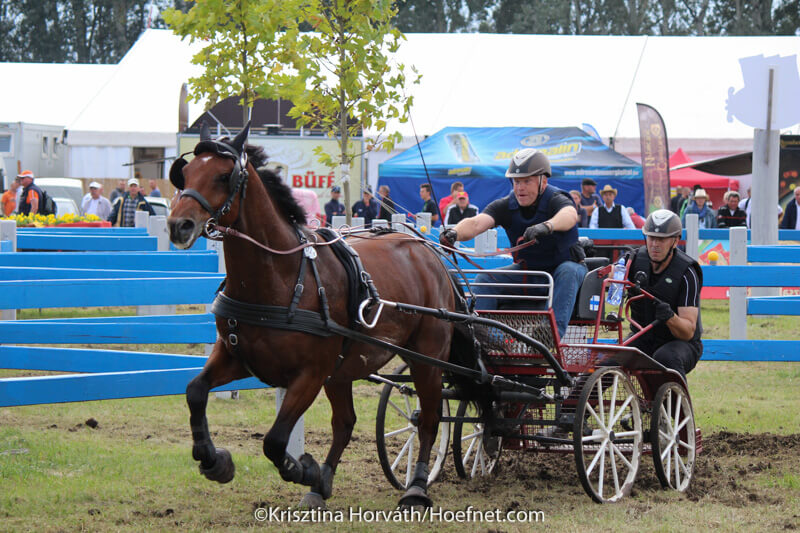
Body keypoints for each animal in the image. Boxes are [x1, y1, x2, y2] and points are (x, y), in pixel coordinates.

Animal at [166, 123, 477, 509]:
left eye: (224, 176)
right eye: (185, 175)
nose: (178, 225)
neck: (280, 275)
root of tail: (429, 252)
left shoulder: (310, 374)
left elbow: (274, 440)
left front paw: (302, 469)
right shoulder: (237, 357)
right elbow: (195, 391)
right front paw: (214, 461)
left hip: (427, 358)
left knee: (429, 419)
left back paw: (416, 485)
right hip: (343, 371)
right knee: (345, 422)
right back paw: (322, 484)